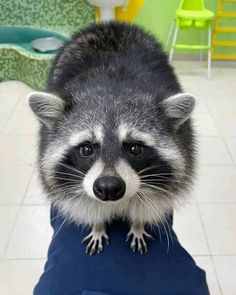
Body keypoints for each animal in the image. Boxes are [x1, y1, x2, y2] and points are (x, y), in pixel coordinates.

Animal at [27, 22, 195, 256]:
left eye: (135, 149)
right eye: (86, 149)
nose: (108, 187)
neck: (114, 89)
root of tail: (111, 25)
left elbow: (145, 207)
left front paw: (138, 224)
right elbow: (91, 207)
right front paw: (97, 226)